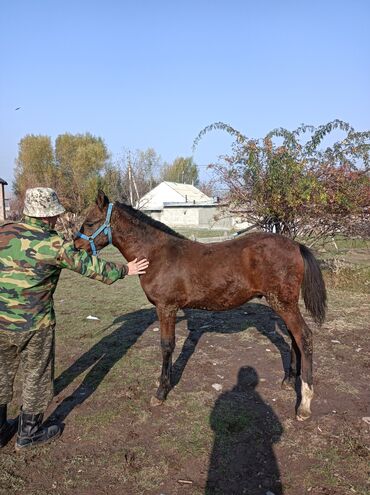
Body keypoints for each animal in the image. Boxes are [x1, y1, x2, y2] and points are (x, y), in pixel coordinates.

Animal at [75, 192, 326, 420]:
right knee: (295, 338)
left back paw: (304, 404)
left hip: (283, 303)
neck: (157, 255)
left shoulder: (166, 307)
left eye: (90, 222)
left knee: (304, 337)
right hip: (284, 304)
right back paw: (288, 380)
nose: (75, 246)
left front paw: (161, 392)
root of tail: (296, 244)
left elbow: (167, 345)